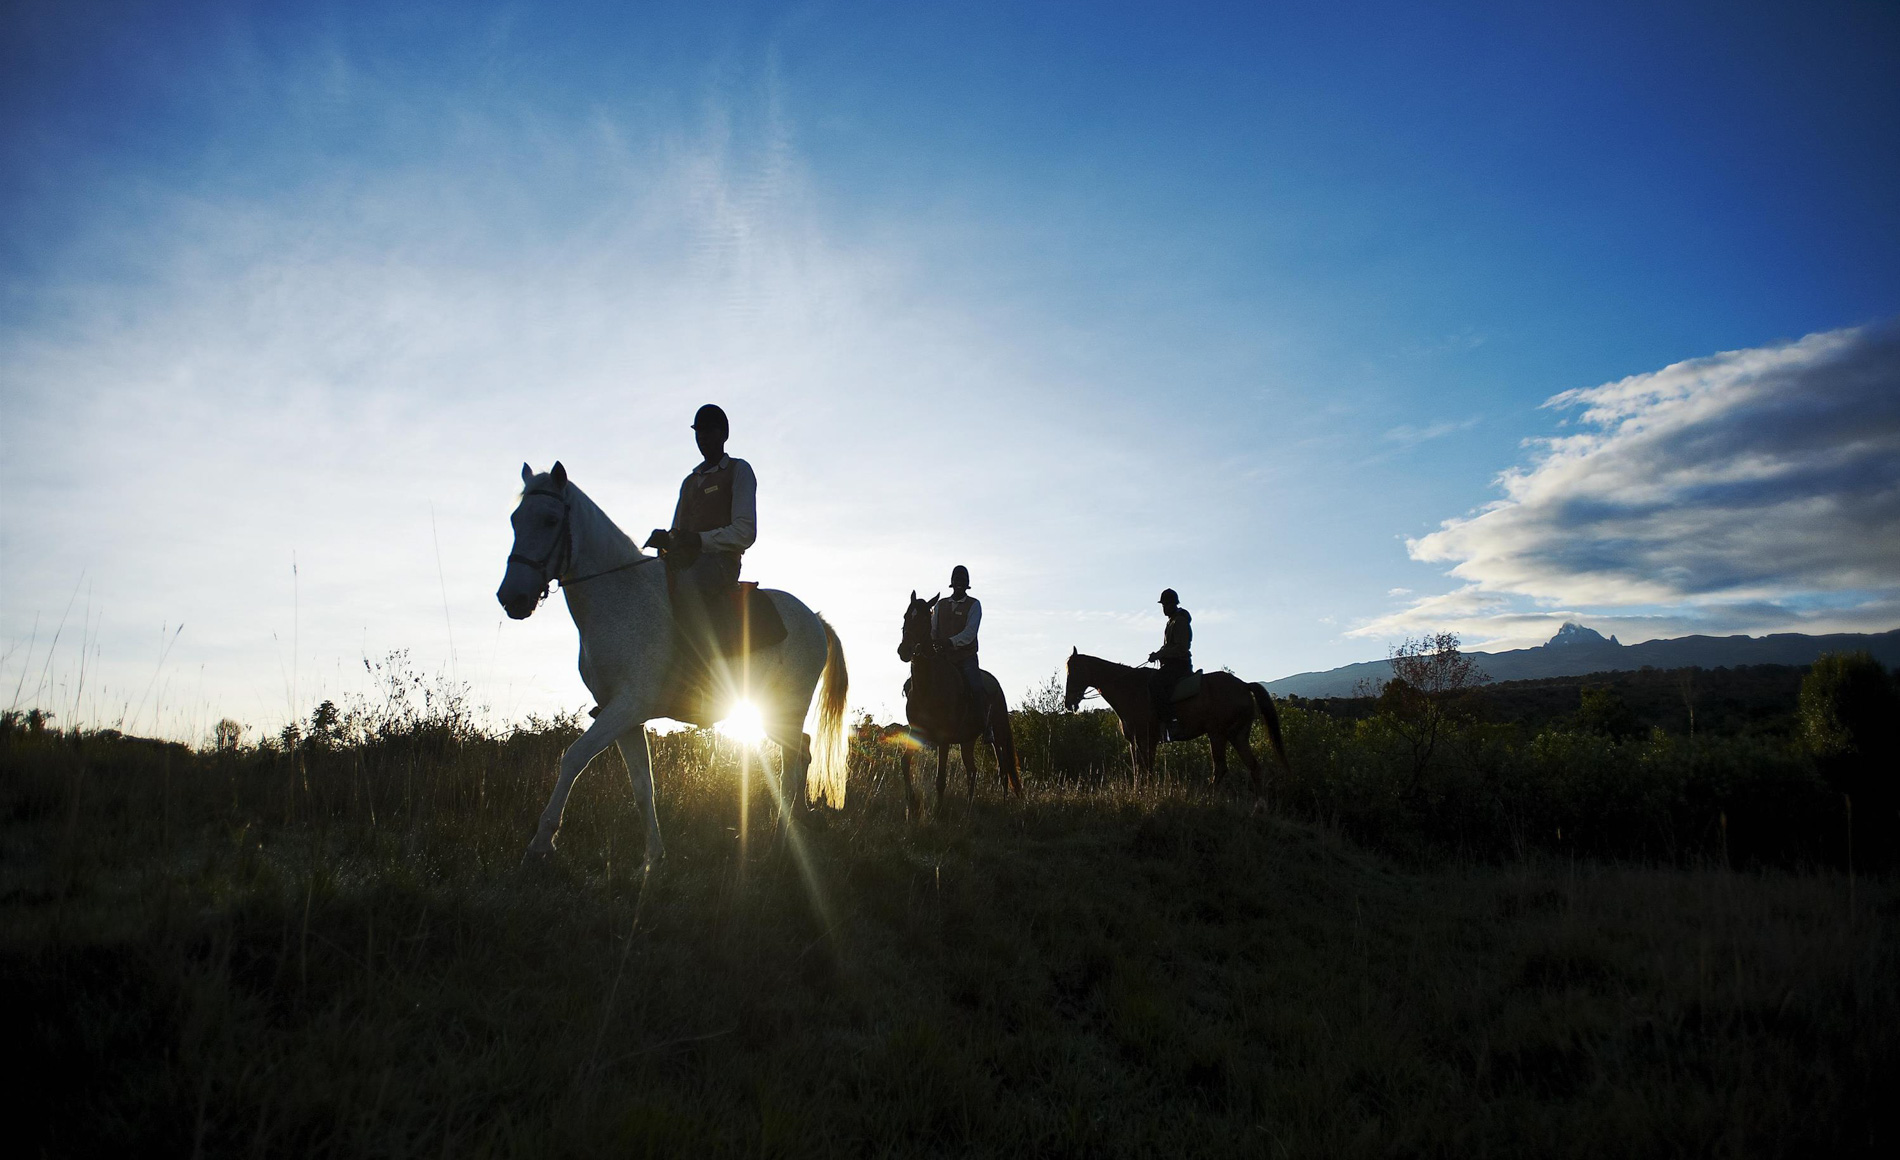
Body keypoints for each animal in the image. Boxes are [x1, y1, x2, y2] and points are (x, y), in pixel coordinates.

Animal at [497, 463, 847, 873]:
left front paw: (540, 843)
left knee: (790, 769)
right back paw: (797, 827)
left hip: (784, 708)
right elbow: (641, 785)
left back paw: (777, 848)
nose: (512, 597)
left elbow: (573, 758)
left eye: (551, 519)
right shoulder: (625, 717)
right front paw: (652, 858)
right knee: (802, 751)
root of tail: (815, 619)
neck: (619, 598)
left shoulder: (626, 706)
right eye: (515, 520)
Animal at [893, 588, 1026, 816]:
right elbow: (904, 762)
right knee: (973, 770)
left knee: (1003, 770)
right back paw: (969, 806)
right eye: (905, 616)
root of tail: (995, 684)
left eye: (925, 620)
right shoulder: (916, 732)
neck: (929, 686)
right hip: (968, 740)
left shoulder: (943, 739)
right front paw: (912, 803)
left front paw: (938, 811)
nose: (904, 650)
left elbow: (940, 778)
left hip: (998, 736)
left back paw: (1003, 805)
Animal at [1071, 649, 1292, 804]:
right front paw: (1138, 792)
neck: (1130, 690)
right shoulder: (1136, 741)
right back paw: (1259, 807)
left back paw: (1206, 798)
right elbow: (1139, 769)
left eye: (1073, 671)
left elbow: (1146, 768)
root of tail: (1245, 685)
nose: (1069, 703)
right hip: (1237, 735)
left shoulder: (1146, 739)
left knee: (1221, 768)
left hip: (1217, 734)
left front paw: (1146, 794)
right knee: (1254, 767)